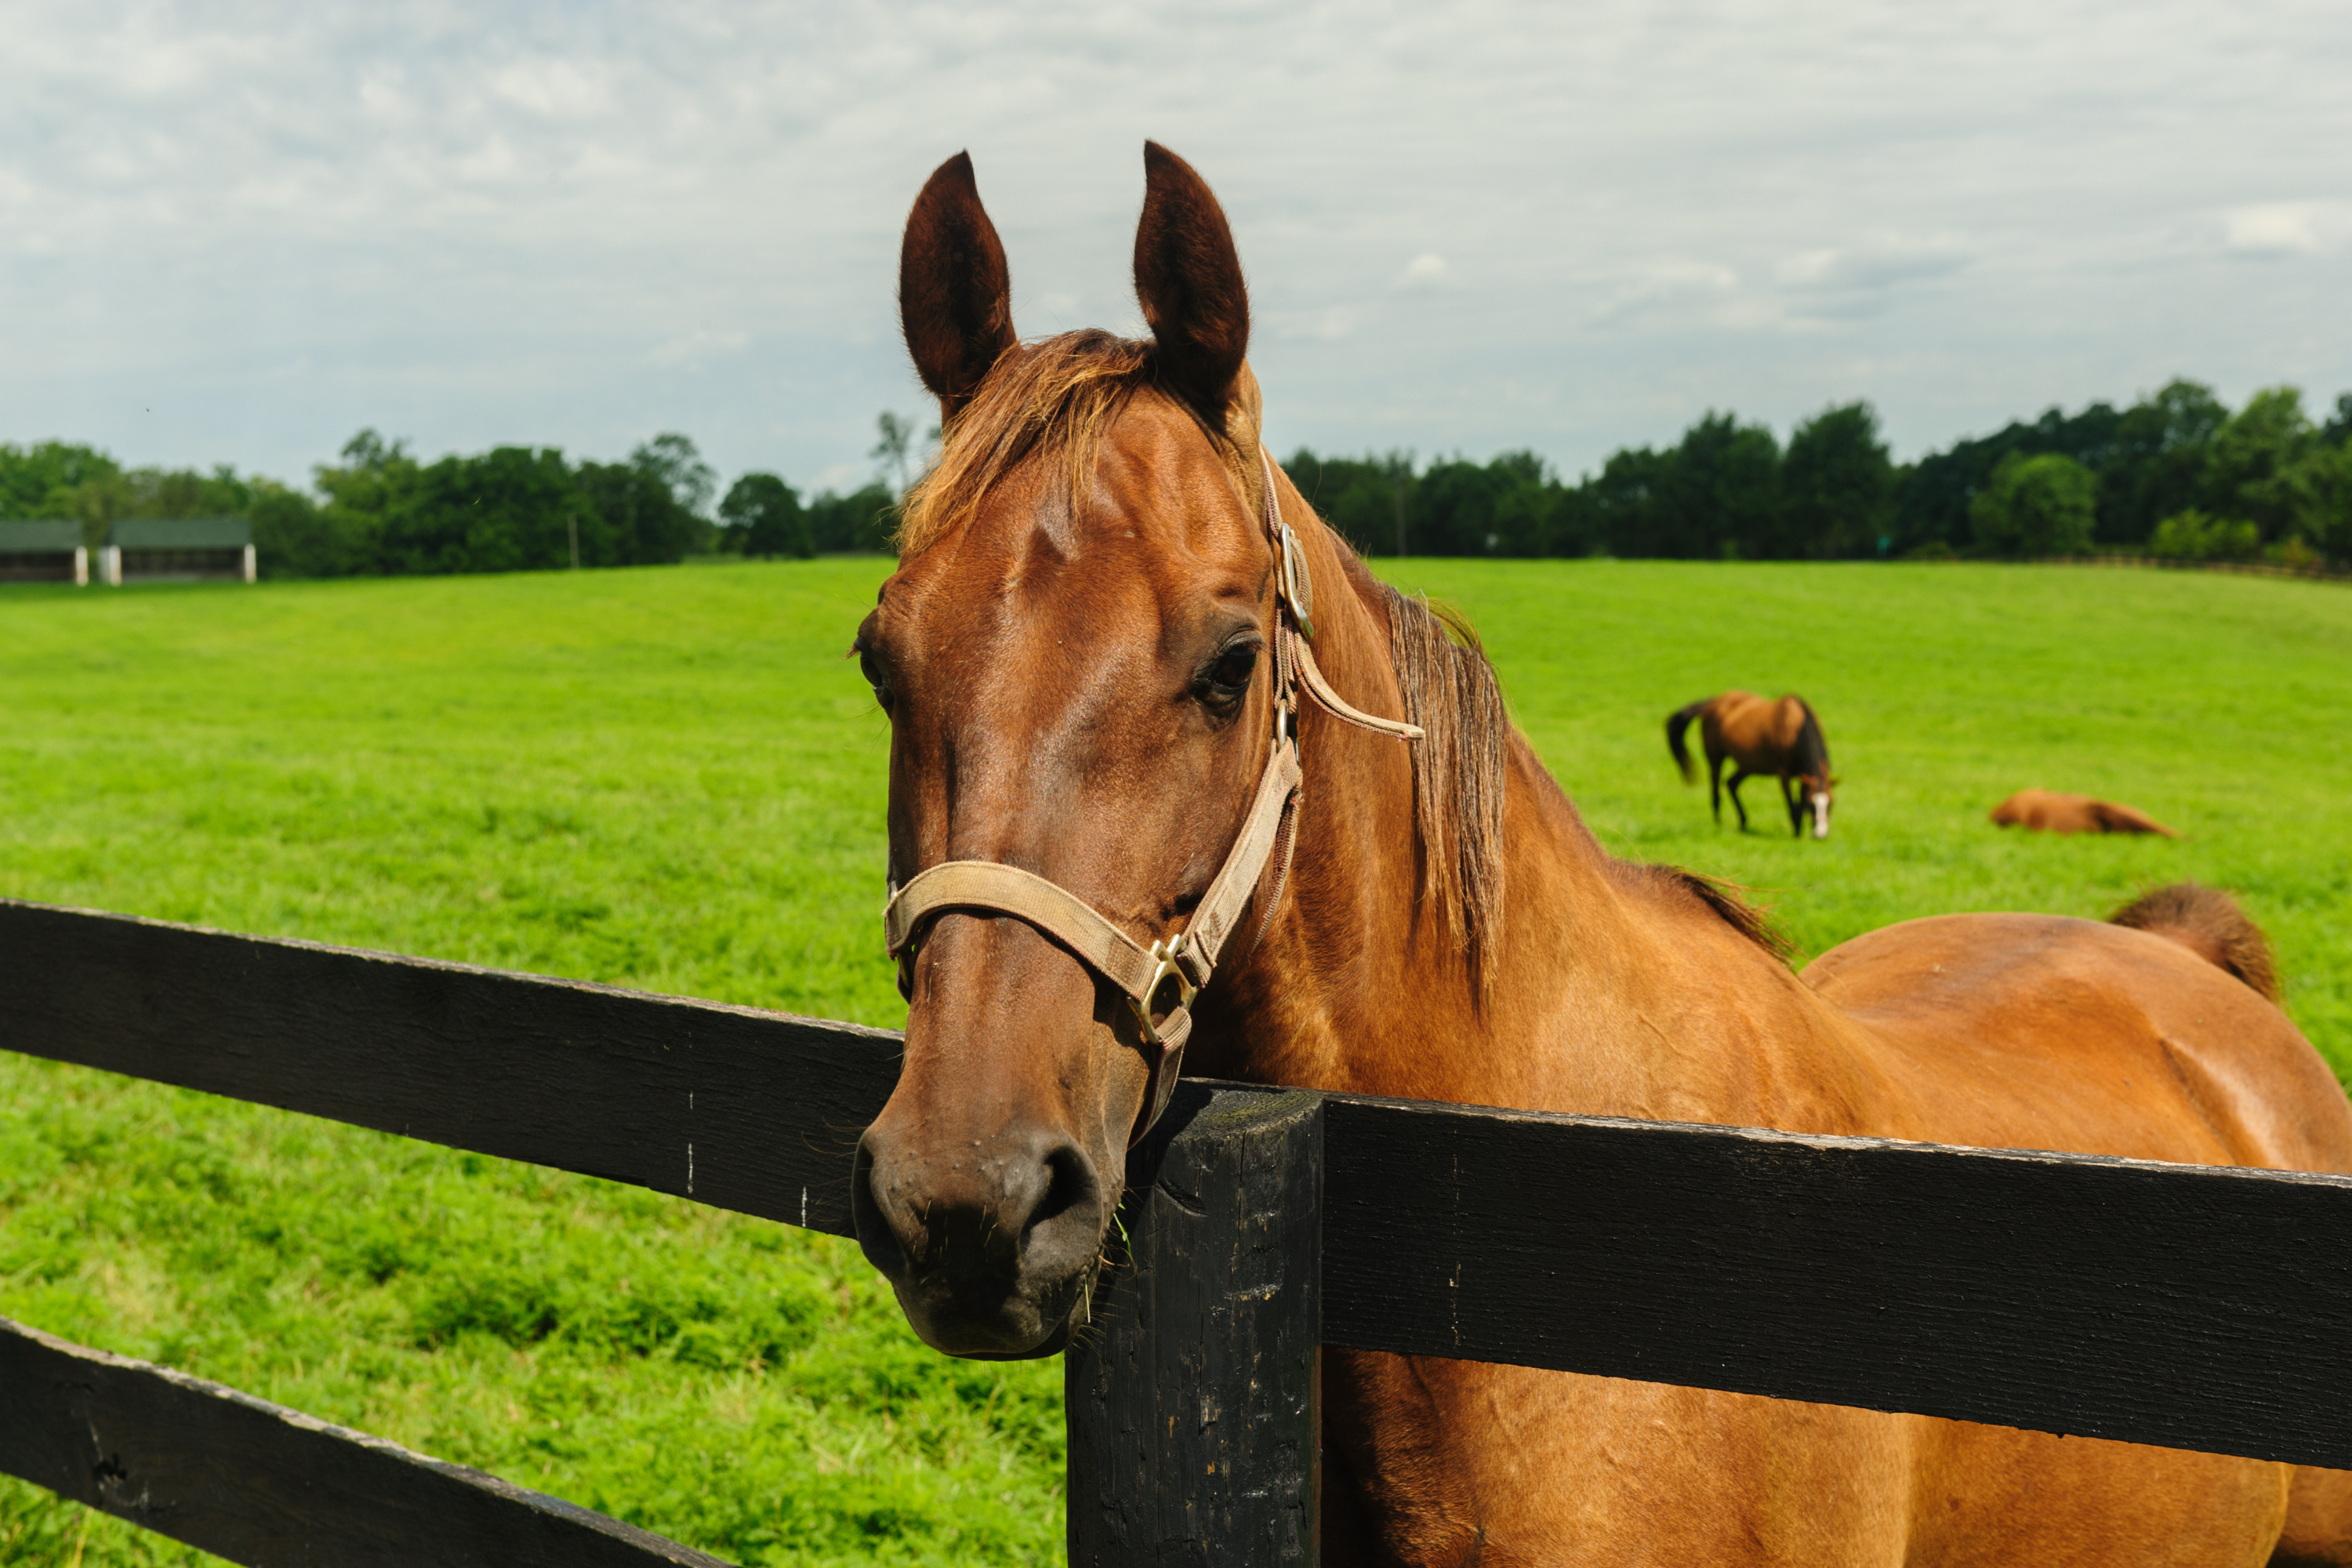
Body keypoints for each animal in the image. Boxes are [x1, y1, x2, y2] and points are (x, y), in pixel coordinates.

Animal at [1668, 689, 1836, 838]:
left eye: (1831, 803)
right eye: (1811, 805)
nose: (1820, 834)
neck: (1795, 727)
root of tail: (1714, 701)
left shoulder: (1803, 776)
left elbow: (1798, 805)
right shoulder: (1784, 774)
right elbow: (1793, 806)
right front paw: (1796, 834)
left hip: (1747, 765)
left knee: (1731, 784)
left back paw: (1743, 822)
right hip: (1716, 759)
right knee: (1716, 791)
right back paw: (1718, 824)